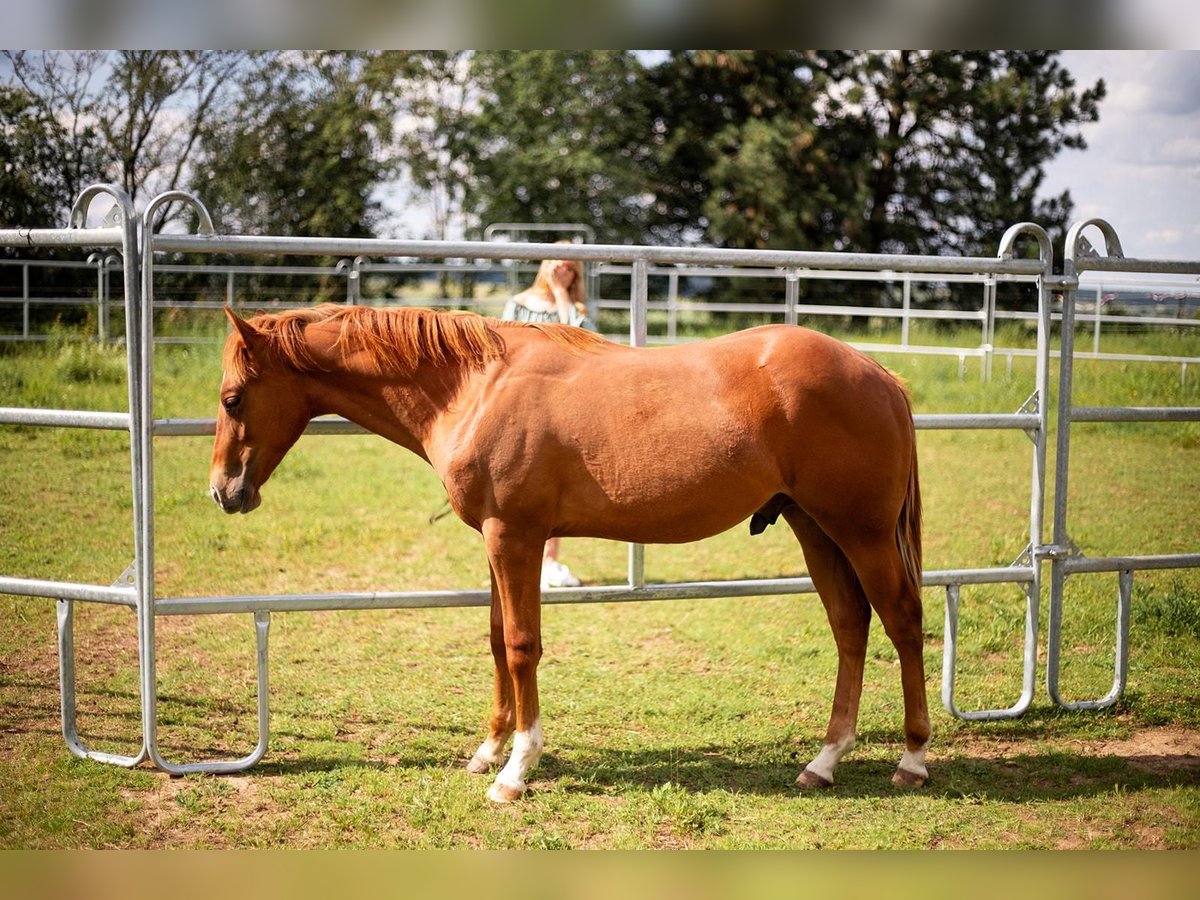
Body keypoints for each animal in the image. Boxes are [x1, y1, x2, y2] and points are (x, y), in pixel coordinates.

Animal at [208, 304, 926, 801]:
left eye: (232, 398)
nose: (223, 490)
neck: (475, 386)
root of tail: (879, 374)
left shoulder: (514, 536)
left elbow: (523, 645)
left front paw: (516, 770)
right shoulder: (496, 541)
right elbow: (497, 639)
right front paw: (488, 750)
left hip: (858, 532)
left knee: (902, 622)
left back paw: (912, 759)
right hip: (815, 528)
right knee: (850, 625)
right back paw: (823, 762)